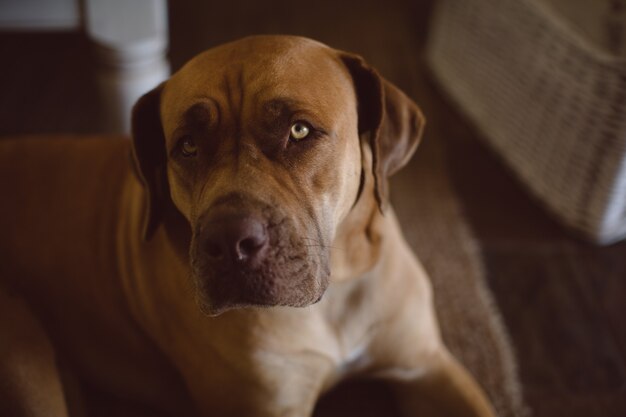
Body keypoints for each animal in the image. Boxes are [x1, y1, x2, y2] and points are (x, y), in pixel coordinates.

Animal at [1, 36, 498, 416]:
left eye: (299, 131)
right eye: (187, 146)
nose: (228, 241)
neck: (333, 298)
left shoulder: (427, 366)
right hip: (24, 353)